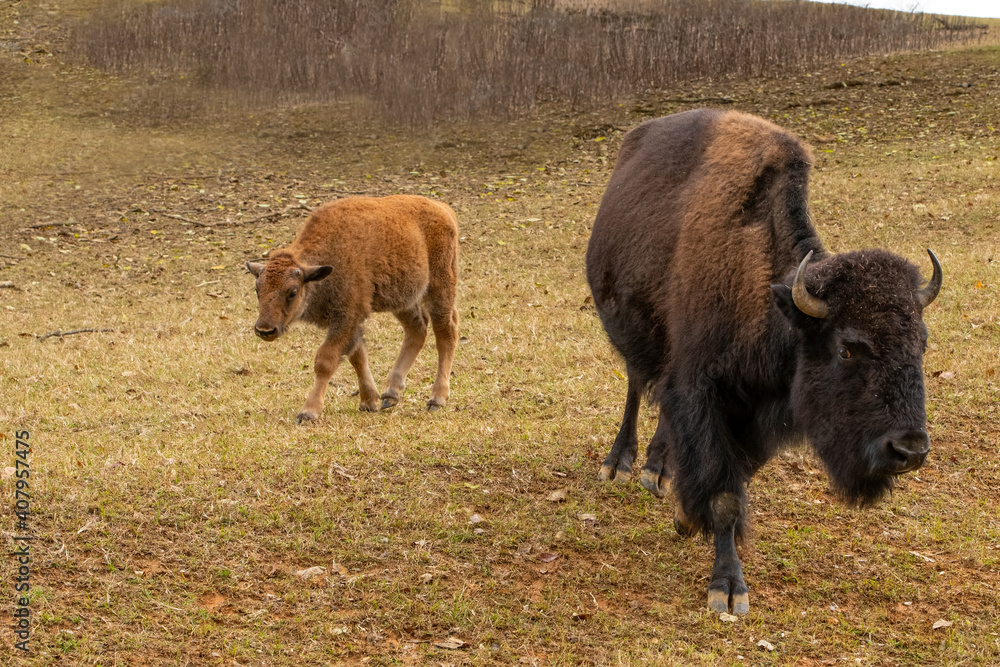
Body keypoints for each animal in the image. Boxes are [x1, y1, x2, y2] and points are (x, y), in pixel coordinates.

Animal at [248, 193, 458, 422]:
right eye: (257, 289)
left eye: (292, 292)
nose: (264, 330)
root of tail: (443, 208)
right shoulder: (351, 322)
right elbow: (358, 356)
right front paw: (369, 401)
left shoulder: (347, 316)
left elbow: (325, 360)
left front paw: (309, 412)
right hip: (403, 298)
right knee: (417, 330)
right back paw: (390, 394)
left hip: (440, 289)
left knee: (445, 333)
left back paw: (437, 399)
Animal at [584, 109, 940, 616]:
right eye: (847, 347)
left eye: (922, 343)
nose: (909, 450)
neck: (767, 298)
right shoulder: (703, 392)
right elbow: (726, 494)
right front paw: (727, 589)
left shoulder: (763, 411)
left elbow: (735, 478)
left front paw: (685, 515)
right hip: (632, 333)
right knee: (636, 386)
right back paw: (621, 465)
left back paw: (660, 470)